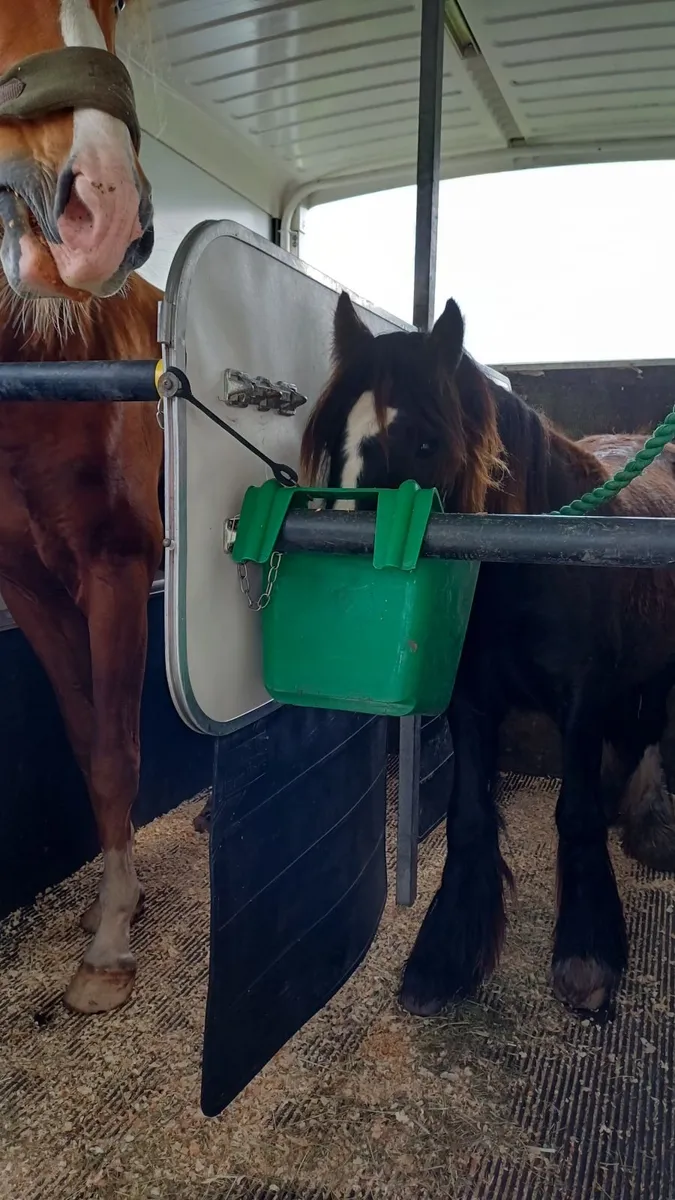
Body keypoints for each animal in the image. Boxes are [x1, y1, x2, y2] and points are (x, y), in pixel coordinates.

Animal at [300, 291, 675, 1019]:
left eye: (425, 441)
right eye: (332, 441)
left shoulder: (580, 704)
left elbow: (575, 813)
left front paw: (586, 957)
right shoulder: (470, 703)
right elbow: (470, 816)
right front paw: (445, 956)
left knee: (650, 729)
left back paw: (649, 825)